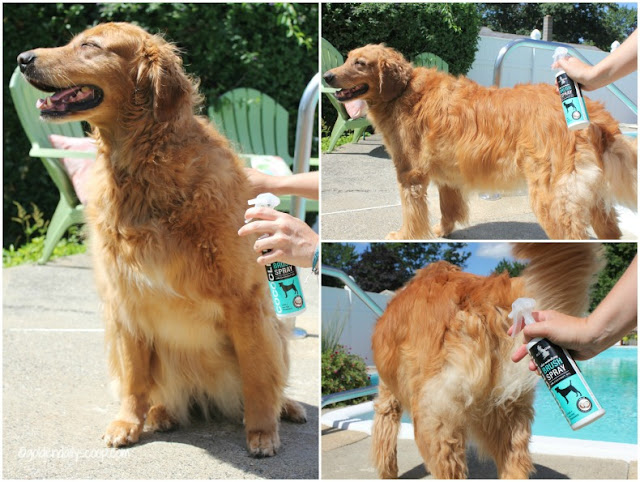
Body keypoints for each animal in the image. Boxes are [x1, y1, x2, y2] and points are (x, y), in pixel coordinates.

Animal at [19, 21, 308, 456]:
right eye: (74, 40)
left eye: (90, 45)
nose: (22, 59)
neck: (143, 167)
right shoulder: (125, 305)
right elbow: (135, 379)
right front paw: (128, 422)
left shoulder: (245, 302)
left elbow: (258, 375)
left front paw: (261, 432)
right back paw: (160, 414)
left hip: (275, 328)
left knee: (270, 373)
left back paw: (286, 406)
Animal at [324, 44, 636, 240]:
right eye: (348, 58)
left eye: (360, 63)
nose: (327, 75)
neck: (401, 90)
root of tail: (597, 116)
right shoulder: (447, 177)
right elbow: (448, 208)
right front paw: (443, 230)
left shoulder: (409, 174)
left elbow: (412, 215)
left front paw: (404, 236)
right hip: (594, 202)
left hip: (552, 201)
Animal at [372, 245, 604, 478]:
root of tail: (475, 291)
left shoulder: (388, 396)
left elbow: (384, 440)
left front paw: (387, 473)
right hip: (508, 415)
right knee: (514, 466)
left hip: (436, 421)